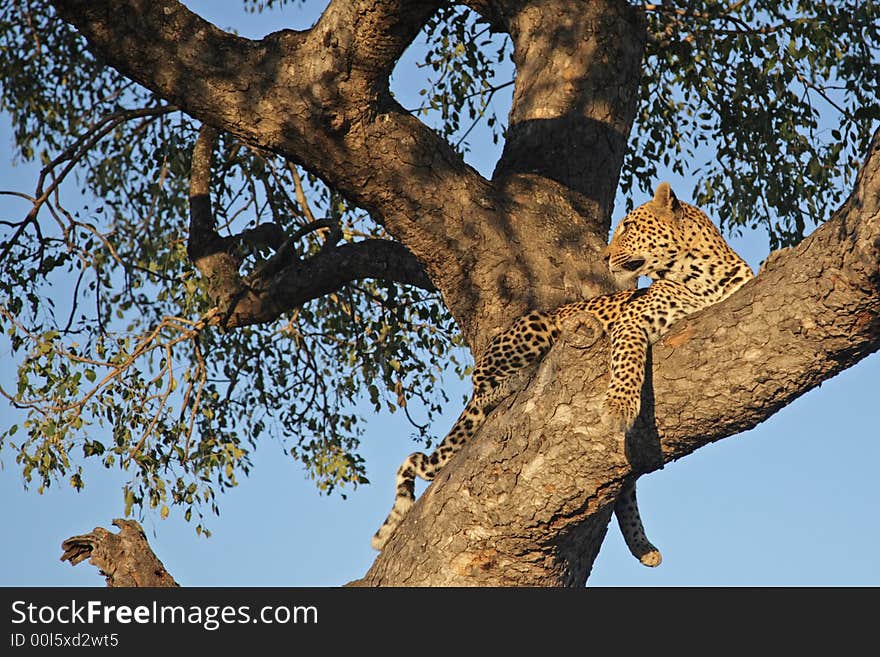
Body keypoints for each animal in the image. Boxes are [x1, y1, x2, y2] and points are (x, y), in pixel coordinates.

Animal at [368, 179, 752, 564]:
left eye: (629, 227)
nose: (604, 257)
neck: (702, 274)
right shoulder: (631, 321)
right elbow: (627, 363)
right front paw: (618, 408)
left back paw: (644, 547)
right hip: (537, 325)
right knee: (481, 382)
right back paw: (518, 379)